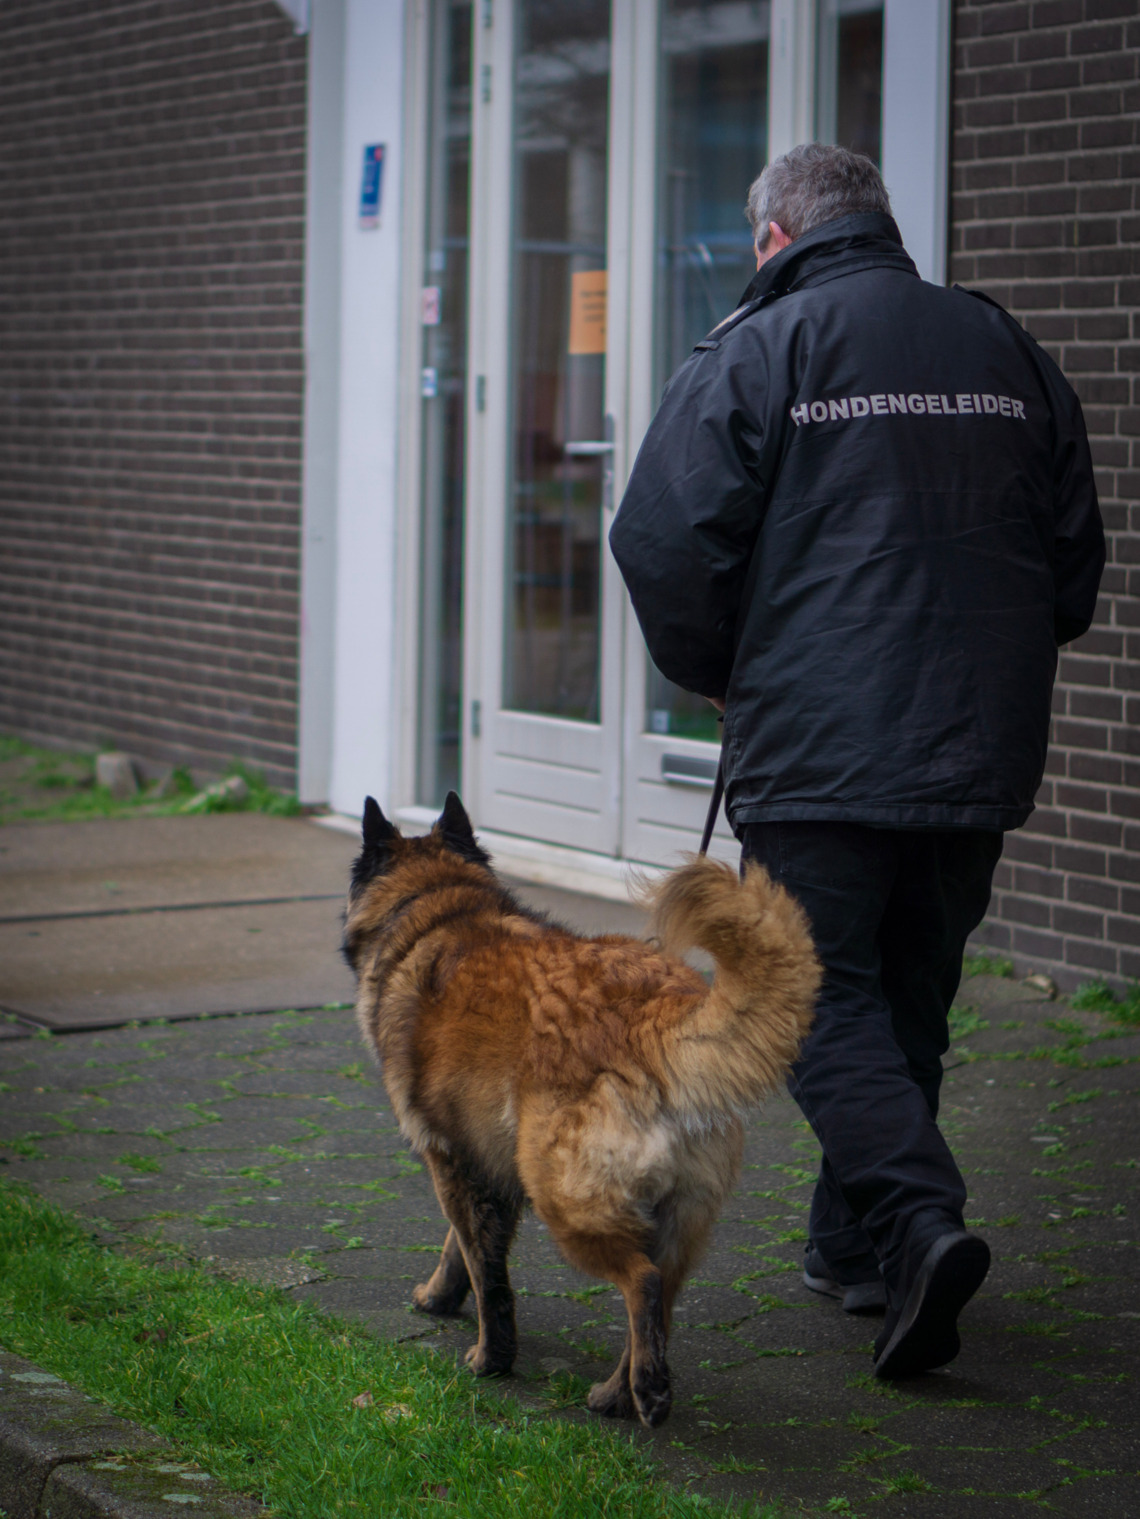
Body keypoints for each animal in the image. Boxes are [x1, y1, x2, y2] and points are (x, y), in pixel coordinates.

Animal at [342, 789, 820, 1427]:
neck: (436, 906)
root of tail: (654, 1018)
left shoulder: (451, 1164)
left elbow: (487, 1275)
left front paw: (490, 1357)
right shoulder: (487, 1168)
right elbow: (460, 1251)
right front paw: (441, 1297)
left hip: (564, 1200)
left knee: (641, 1282)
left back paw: (647, 1392)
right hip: (673, 1216)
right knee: (661, 1299)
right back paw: (623, 1391)